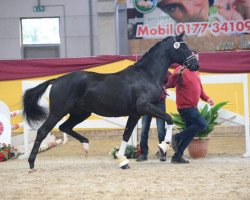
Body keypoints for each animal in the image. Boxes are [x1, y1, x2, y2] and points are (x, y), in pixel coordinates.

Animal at [23, 31, 199, 172]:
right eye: (183, 48)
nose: (195, 65)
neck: (145, 75)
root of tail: (57, 80)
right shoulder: (144, 107)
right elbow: (169, 118)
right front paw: (164, 145)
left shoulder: (136, 113)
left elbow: (126, 134)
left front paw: (122, 160)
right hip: (58, 111)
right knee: (43, 131)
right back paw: (31, 164)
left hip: (81, 113)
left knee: (64, 127)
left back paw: (86, 146)